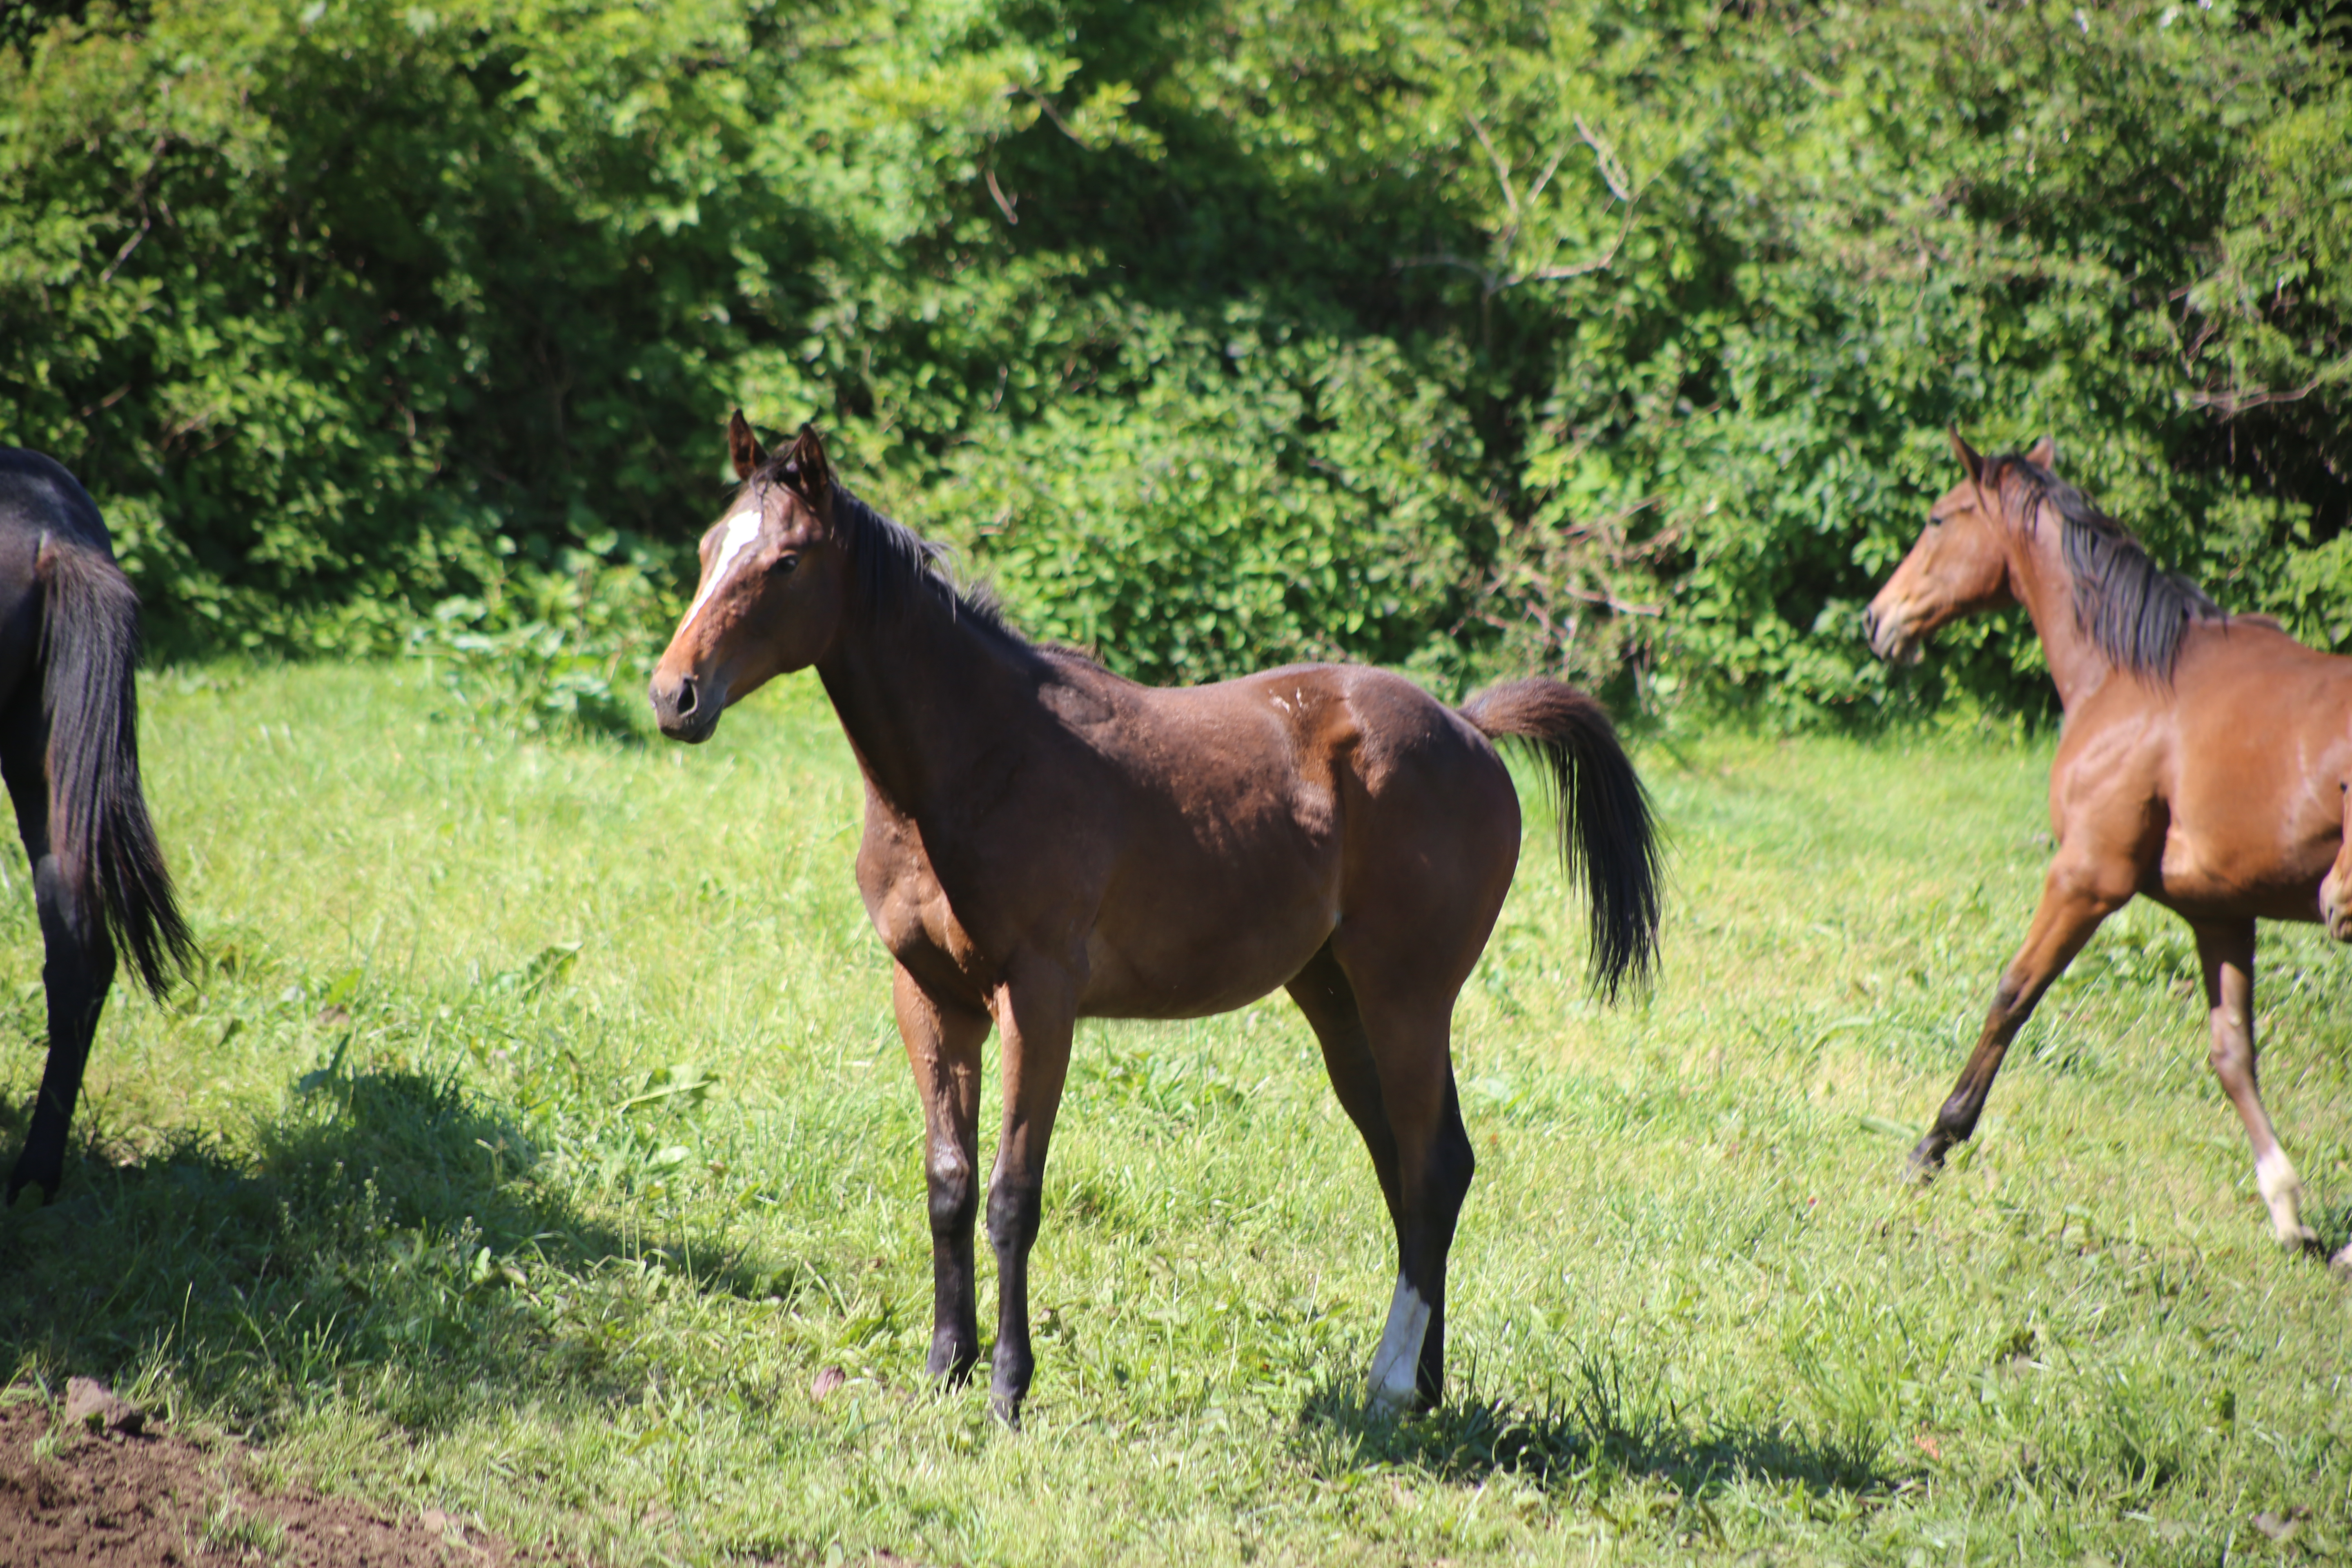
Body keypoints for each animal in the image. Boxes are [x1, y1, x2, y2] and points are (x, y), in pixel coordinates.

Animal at [654, 416, 1665, 1420]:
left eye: (785, 562)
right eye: (707, 549)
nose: (675, 696)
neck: (980, 758)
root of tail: (1469, 726)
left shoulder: (1039, 999)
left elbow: (1013, 1195)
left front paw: (1008, 1388)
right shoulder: (930, 996)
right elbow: (949, 1184)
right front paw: (945, 1368)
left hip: (1408, 997)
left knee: (1435, 1165)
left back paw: (1387, 1385)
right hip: (1337, 997)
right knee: (1406, 1163)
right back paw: (1424, 1386)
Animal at [1872, 432, 2352, 1278]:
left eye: (1937, 519)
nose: (1877, 618)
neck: (2135, 677)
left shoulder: (2087, 878)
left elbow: (2012, 995)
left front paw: (1934, 1144)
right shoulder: (2220, 913)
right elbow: (2233, 1052)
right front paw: (2287, 1209)